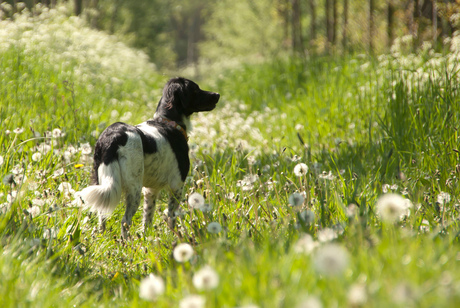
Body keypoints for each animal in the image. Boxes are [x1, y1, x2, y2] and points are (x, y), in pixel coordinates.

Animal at [78, 77, 220, 238]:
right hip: (134, 188)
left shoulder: (151, 190)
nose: (217, 94)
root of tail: (113, 136)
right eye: (195, 89)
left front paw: (147, 238)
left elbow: (148, 218)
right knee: (125, 220)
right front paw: (173, 237)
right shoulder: (177, 185)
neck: (168, 121)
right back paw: (126, 242)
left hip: (102, 181)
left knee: (102, 215)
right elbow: (171, 217)